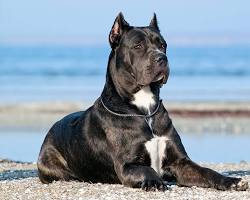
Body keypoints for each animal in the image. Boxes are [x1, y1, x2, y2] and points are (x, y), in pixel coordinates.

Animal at [37, 13, 248, 191]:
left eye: (163, 45)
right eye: (138, 46)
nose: (162, 58)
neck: (145, 110)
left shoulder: (181, 162)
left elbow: (206, 171)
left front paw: (231, 181)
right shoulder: (127, 165)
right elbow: (147, 169)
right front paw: (154, 181)